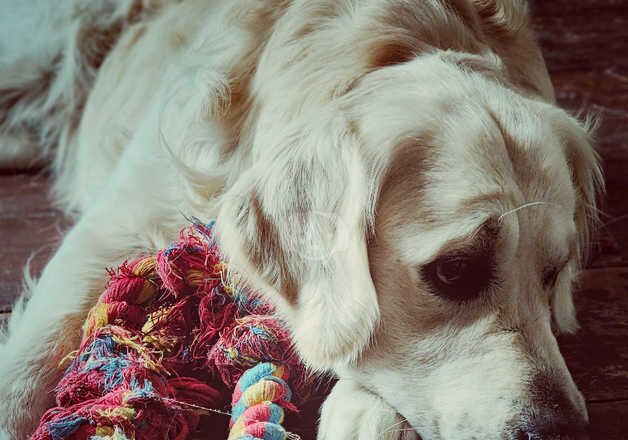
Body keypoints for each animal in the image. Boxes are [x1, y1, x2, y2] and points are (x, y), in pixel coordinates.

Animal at [0, 0, 604, 440]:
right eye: (454, 271)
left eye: (552, 275)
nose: (563, 432)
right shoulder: (113, 229)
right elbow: (21, 375)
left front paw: (363, 414)